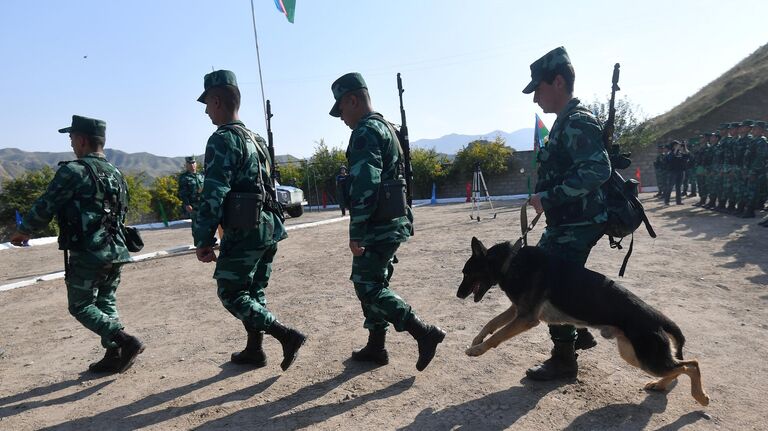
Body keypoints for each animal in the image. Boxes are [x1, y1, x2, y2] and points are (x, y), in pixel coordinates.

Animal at [456, 238, 708, 406]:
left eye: (467, 273)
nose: (458, 295)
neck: (510, 261)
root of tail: (656, 318)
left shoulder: (526, 318)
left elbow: (497, 335)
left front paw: (477, 350)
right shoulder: (516, 310)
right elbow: (491, 323)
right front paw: (477, 339)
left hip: (646, 359)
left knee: (691, 365)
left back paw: (700, 396)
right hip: (632, 355)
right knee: (679, 367)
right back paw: (661, 385)